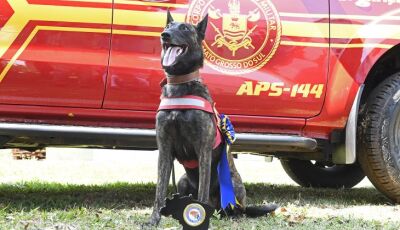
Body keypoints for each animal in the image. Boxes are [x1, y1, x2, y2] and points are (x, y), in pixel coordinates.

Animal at [148, 11, 276, 226]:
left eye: (184, 28)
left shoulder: (203, 149)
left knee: (237, 209)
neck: (181, 86)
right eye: (169, 26)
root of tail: (218, 207)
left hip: (234, 184)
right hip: (182, 180)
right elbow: (159, 191)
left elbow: (202, 193)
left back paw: (232, 216)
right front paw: (153, 220)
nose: (164, 35)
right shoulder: (164, 150)